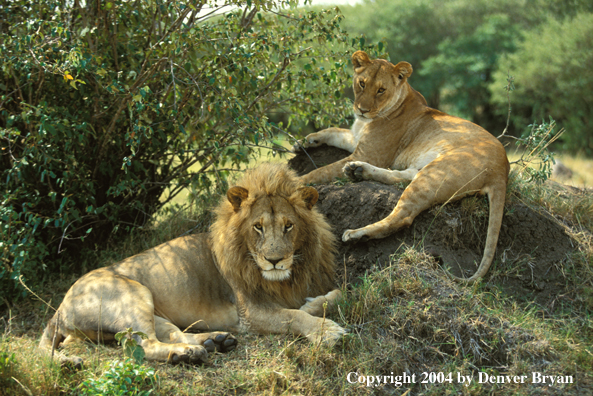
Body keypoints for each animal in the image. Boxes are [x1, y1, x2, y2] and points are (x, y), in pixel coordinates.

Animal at [39, 163, 344, 366]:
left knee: (172, 333)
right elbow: (293, 317)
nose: (274, 260)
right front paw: (327, 331)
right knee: (142, 345)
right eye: (258, 227)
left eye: (288, 226)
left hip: (151, 310)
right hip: (133, 294)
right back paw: (189, 354)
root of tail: (59, 308)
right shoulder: (249, 312)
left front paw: (314, 304)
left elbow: (335, 295)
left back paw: (215, 341)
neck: (285, 278)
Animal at [296, 51, 508, 284]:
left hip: (437, 172)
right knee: (403, 177)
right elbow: (333, 131)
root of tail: (503, 169)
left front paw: (295, 180)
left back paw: (357, 233)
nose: (362, 110)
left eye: (381, 90)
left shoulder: (369, 153)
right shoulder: (357, 140)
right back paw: (357, 171)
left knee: (403, 216)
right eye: (362, 83)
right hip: (425, 170)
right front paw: (305, 141)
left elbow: (321, 171)